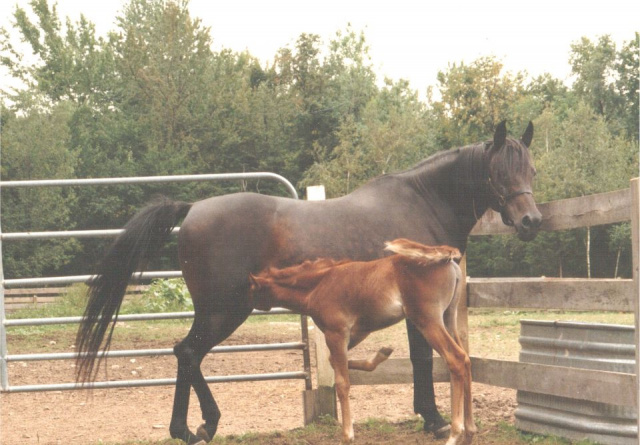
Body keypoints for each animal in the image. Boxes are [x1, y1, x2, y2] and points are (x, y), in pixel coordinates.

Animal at [250, 239, 476, 444]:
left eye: (251, 290)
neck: (319, 285)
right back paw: (470, 432)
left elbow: (342, 382)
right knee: (466, 359)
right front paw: (382, 354)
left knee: (456, 359)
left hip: (428, 321)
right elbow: (337, 362)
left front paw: (347, 436)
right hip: (448, 318)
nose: (248, 310)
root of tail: (447, 259)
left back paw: (455, 434)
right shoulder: (358, 332)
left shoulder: (336, 333)